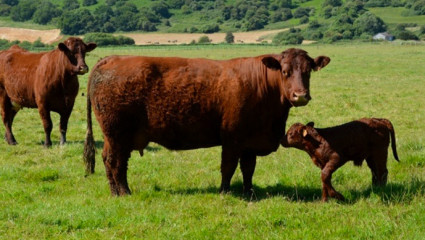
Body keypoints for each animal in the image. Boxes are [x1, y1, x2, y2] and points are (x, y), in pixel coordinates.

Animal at [83, 47, 328, 196]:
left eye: (308, 72)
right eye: (285, 72)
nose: (300, 95)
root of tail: (110, 58)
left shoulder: (250, 142)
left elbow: (248, 169)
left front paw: (249, 192)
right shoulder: (232, 139)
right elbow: (228, 167)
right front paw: (224, 192)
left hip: (116, 137)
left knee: (112, 160)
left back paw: (118, 191)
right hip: (117, 134)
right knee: (114, 161)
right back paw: (123, 192)